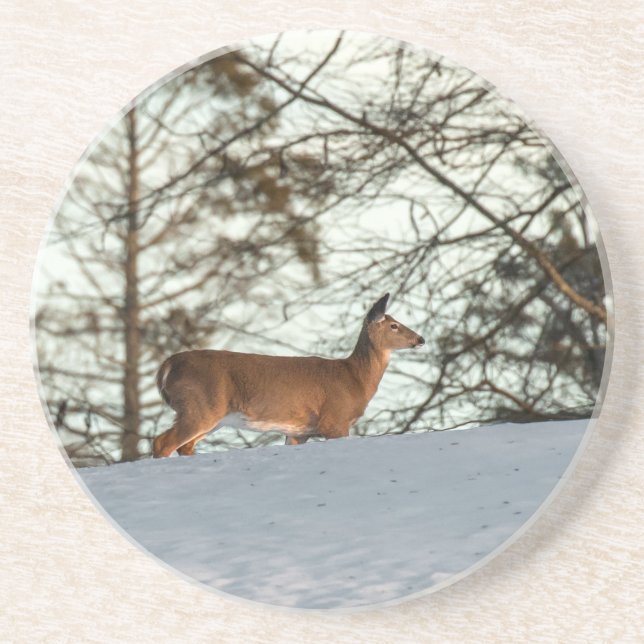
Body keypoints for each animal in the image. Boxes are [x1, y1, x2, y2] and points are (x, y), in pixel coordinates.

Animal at [152, 293, 425, 457]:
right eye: (394, 325)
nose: (420, 339)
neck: (354, 378)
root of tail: (167, 365)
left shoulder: (299, 431)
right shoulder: (334, 419)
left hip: (210, 415)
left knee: (184, 446)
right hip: (200, 405)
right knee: (162, 442)